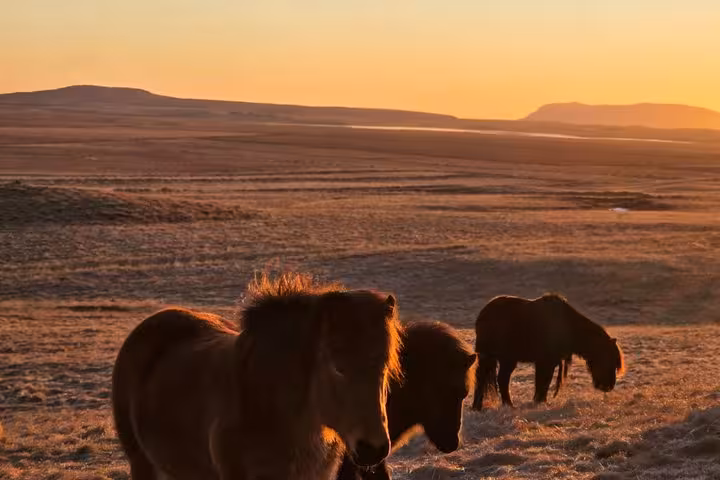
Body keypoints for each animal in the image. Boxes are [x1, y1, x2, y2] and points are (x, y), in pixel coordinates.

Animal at [471, 293, 624, 411]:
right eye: (608, 358)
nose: (609, 386)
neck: (568, 327)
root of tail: (482, 315)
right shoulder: (546, 362)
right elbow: (543, 382)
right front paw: (540, 402)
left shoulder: (549, 363)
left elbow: (543, 383)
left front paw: (540, 402)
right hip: (499, 358)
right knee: (494, 379)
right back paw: (499, 406)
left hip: (500, 359)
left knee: (492, 379)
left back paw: (486, 407)